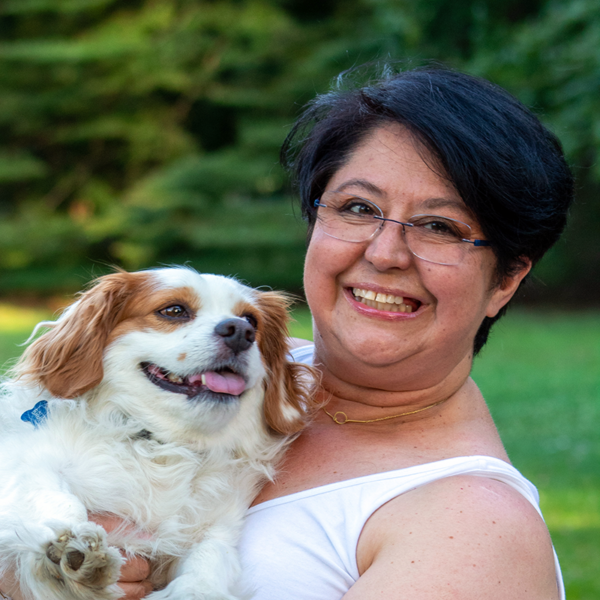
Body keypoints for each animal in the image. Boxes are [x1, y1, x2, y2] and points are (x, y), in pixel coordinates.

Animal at [0, 267, 314, 600]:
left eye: (252, 320)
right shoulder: (28, 463)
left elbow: (211, 556)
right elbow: (49, 493)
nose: (240, 330)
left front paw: (197, 589)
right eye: (174, 310)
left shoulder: (219, 527)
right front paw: (70, 552)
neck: (162, 444)